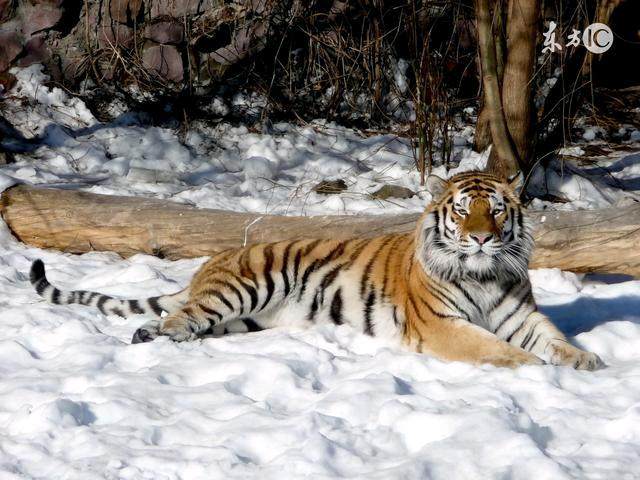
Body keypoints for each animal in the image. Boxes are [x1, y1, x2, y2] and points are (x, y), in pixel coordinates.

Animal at [30, 172, 604, 372]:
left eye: (498, 211)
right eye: (463, 211)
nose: (482, 237)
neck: (484, 274)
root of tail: (210, 263)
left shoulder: (520, 315)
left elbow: (553, 338)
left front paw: (586, 360)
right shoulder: (442, 325)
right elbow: (495, 349)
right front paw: (532, 368)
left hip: (243, 320)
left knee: (190, 322)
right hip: (241, 288)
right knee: (180, 316)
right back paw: (150, 335)